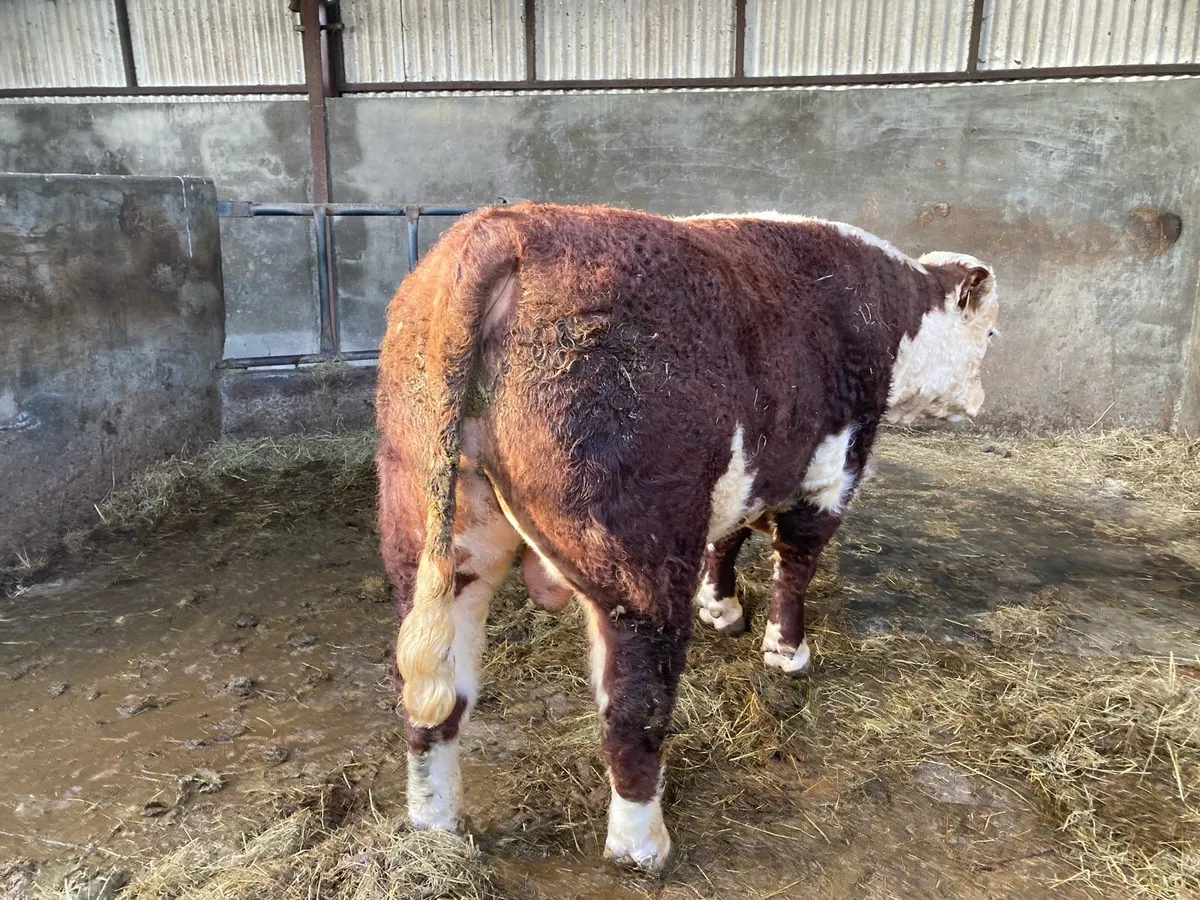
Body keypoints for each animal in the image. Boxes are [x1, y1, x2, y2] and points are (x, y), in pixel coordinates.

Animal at [375, 202, 998, 870]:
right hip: (636, 557)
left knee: (434, 698)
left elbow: (728, 539)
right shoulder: (832, 470)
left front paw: (722, 608)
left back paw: (436, 828)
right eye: (989, 335)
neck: (889, 311)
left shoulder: (749, 473)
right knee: (633, 707)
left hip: (434, 536)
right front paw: (786, 651)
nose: (980, 402)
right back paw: (641, 845)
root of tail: (503, 227)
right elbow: (796, 562)